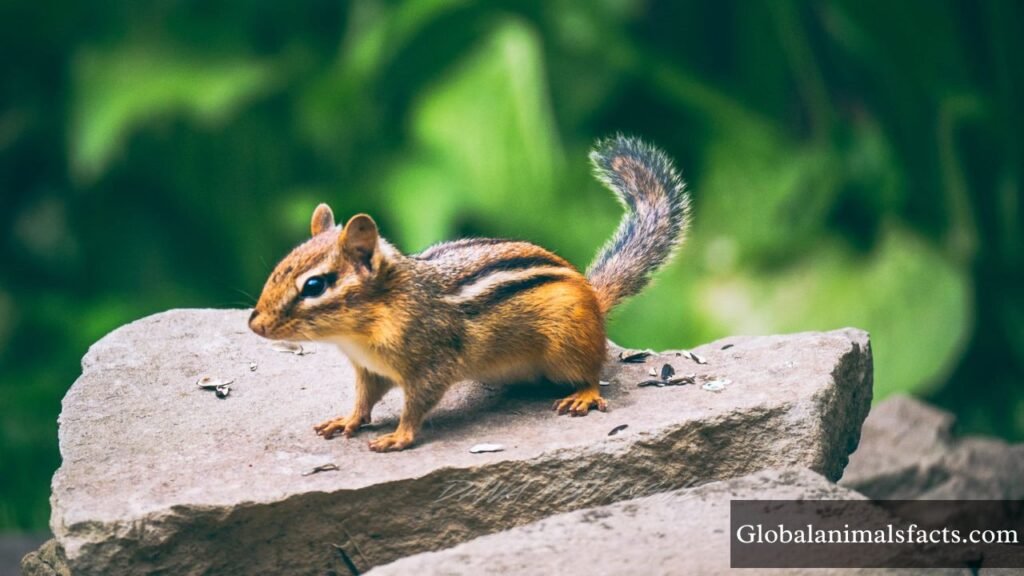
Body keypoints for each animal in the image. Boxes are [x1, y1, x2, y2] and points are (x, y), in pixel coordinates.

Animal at [249, 136, 691, 452]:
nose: (255, 324)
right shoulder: (369, 370)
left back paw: (583, 394)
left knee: (592, 372)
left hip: (568, 344)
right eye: (280, 266)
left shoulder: (432, 362)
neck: (362, 329)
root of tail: (592, 296)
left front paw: (400, 436)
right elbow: (363, 399)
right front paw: (348, 419)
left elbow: (417, 404)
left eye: (314, 285)